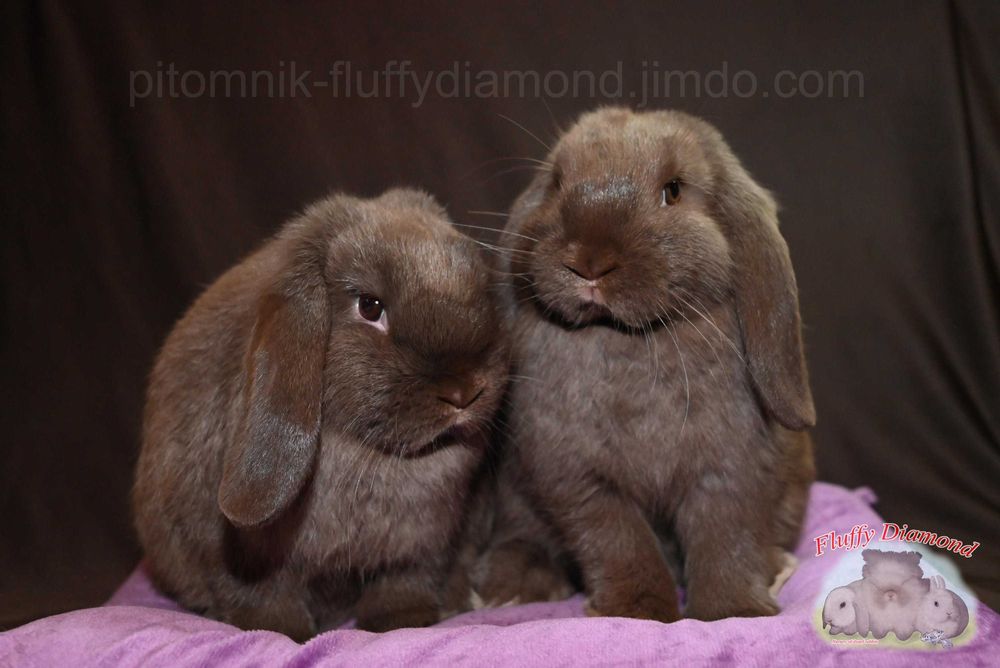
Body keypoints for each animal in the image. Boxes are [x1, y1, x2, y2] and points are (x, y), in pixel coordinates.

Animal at [133, 189, 510, 639]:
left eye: (483, 286)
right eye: (370, 307)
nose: (465, 391)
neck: (370, 455)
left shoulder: (423, 547)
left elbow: (404, 585)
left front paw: (404, 622)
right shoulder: (240, 555)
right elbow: (261, 598)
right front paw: (281, 632)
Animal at [475, 107, 816, 623]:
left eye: (673, 190)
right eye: (556, 183)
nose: (589, 261)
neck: (631, 342)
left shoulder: (732, 468)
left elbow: (725, 536)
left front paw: (734, 611)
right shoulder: (576, 477)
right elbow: (619, 540)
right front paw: (636, 611)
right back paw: (509, 586)